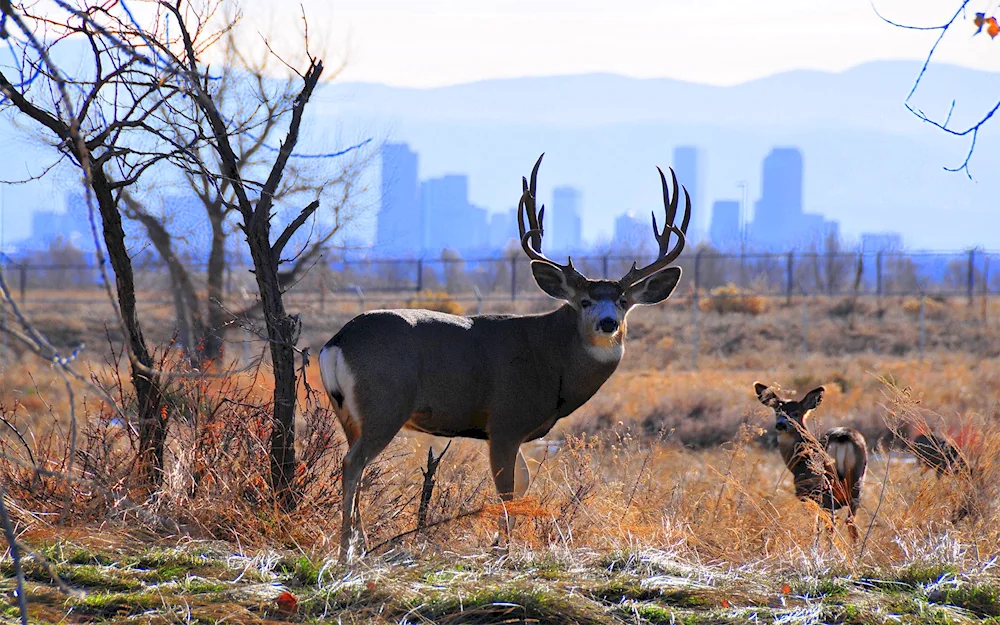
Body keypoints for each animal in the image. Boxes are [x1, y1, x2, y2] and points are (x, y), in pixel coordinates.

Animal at [320, 154, 688, 560]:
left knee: (355, 464)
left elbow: (523, 484)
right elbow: (508, 490)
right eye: (584, 301)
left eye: (623, 301)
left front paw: (504, 542)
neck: (552, 358)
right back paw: (347, 550)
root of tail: (337, 341)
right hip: (385, 404)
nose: (607, 323)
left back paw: (361, 544)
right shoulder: (505, 421)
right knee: (353, 463)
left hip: (348, 413)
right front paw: (505, 548)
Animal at [756, 382, 868, 540]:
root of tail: (842, 437)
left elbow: (814, 525)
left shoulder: (805, 493)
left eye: (796, 413)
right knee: (851, 523)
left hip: (824, 486)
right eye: (777, 411)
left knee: (832, 525)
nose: (780, 425)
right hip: (857, 480)